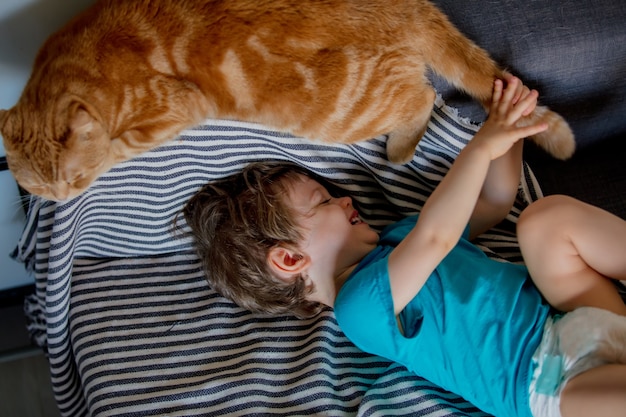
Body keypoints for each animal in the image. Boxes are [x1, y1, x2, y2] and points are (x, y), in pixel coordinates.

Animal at [0, 0, 572, 202]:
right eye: (40, 191)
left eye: (76, 180)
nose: (62, 201)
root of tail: (413, 8)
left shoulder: (172, 109)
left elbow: (121, 147)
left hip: (339, 110)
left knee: (423, 95)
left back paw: (400, 149)